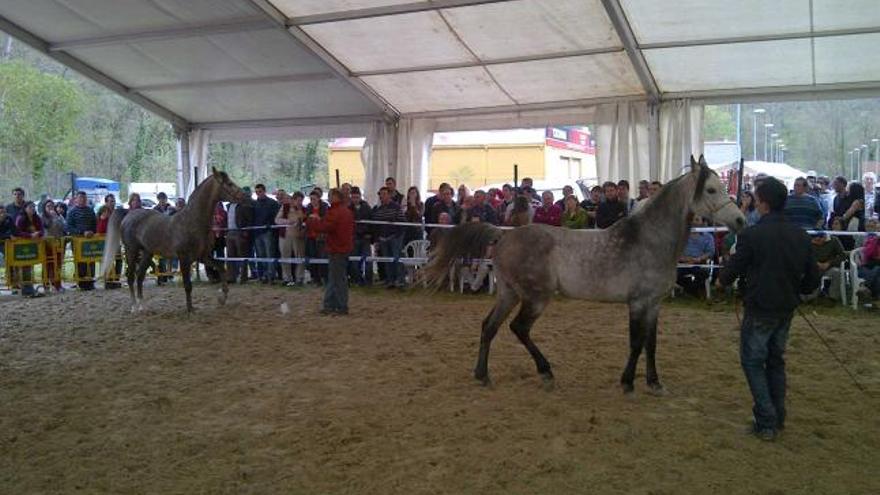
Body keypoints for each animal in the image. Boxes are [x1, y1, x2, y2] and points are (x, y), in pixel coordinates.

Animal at [101, 169, 249, 312]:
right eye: (229, 184)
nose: (246, 197)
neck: (192, 221)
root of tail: (129, 214)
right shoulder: (184, 259)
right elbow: (188, 285)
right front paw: (190, 309)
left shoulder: (202, 257)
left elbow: (221, 268)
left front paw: (222, 298)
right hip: (131, 251)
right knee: (131, 277)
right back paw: (134, 306)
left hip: (147, 253)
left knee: (140, 276)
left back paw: (142, 305)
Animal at [422, 155, 744, 396]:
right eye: (711, 189)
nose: (740, 220)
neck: (648, 239)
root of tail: (504, 235)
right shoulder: (638, 302)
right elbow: (636, 342)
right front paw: (628, 383)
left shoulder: (654, 304)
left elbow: (651, 344)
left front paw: (654, 383)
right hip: (536, 297)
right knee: (518, 328)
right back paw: (546, 372)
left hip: (508, 293)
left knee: (489, 326)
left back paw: (482, 375)